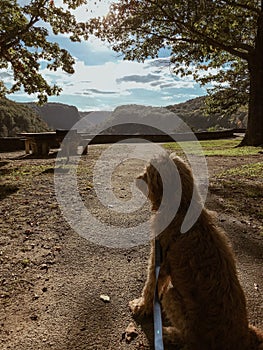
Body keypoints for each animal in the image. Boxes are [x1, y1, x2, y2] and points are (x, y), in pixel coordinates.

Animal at [129, 153, 262, 350]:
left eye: (148, 173)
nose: (136, 178)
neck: (182, 209)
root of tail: (242, 339)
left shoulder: (159, 261)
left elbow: (150, 286)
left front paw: (141, 306)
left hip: (173, 298)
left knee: (189, 339)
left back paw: (168, 335)